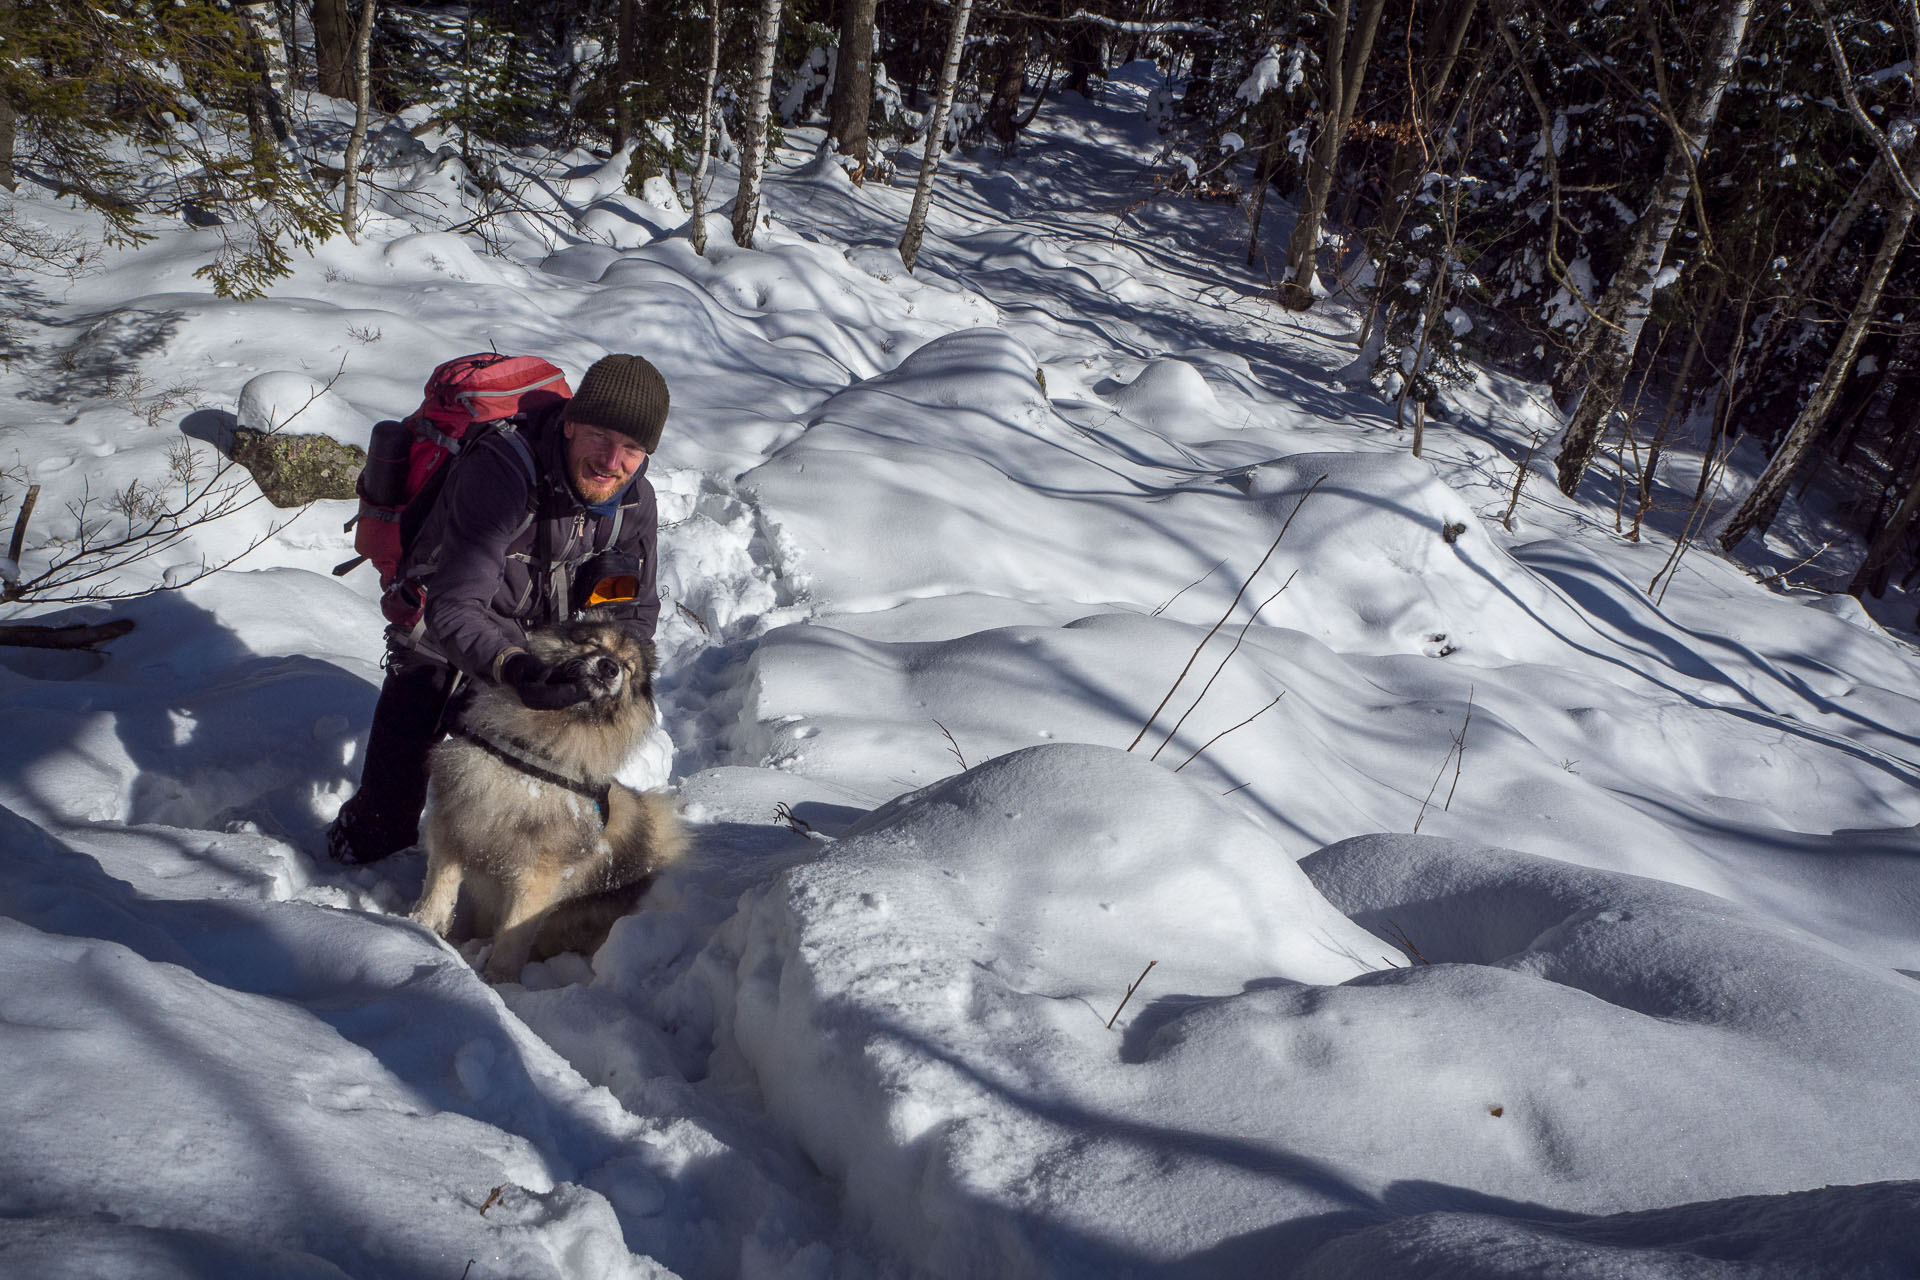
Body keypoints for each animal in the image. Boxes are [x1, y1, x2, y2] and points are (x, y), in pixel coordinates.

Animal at [408, 625, 687, 990]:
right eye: (593, 643)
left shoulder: (539, 873)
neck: (536, 752)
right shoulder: (457, 818)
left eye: (627, 668)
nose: (608, 667)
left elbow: (515, 932)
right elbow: (439, 887)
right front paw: (420, 928)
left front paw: (500, 981)